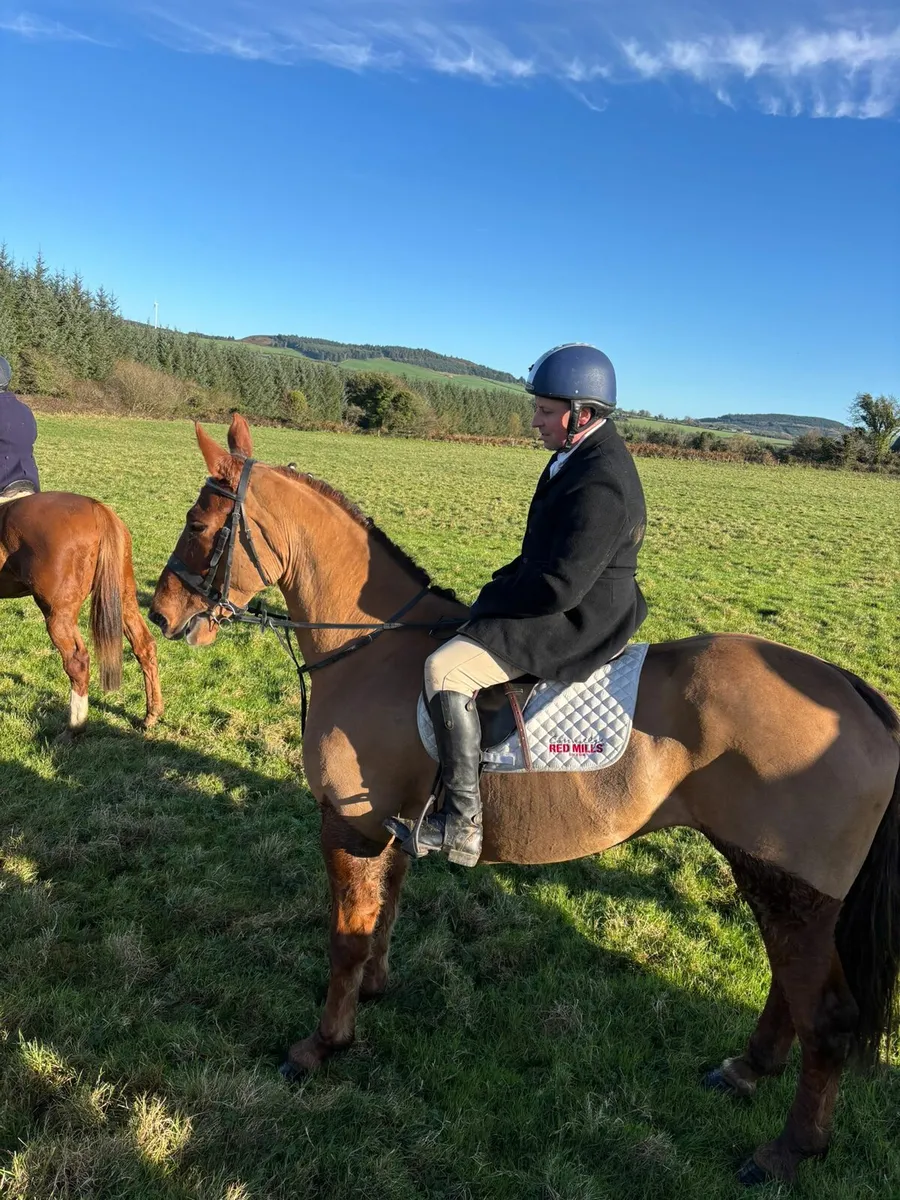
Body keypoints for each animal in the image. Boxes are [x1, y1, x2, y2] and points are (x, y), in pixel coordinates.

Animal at [0, 491, 163, 734]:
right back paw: (151, 714)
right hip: (124, 599)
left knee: (77, 662)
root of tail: (97, 508)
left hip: (58, 616)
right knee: (144, 645)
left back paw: (74, 727)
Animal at [149, 414, 900, 1187]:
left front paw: (323, 1045)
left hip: (792, 887)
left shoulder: (347, 825)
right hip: (773, 881)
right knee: (789, 986)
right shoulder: (391, 827)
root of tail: (853, 692)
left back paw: (789, 1150)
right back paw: (747, 1071)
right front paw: (374, 994)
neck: (371, 651)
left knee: (828, 1018)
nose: (160, 612)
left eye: (200, 525)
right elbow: (385, 910)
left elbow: (345, 939)